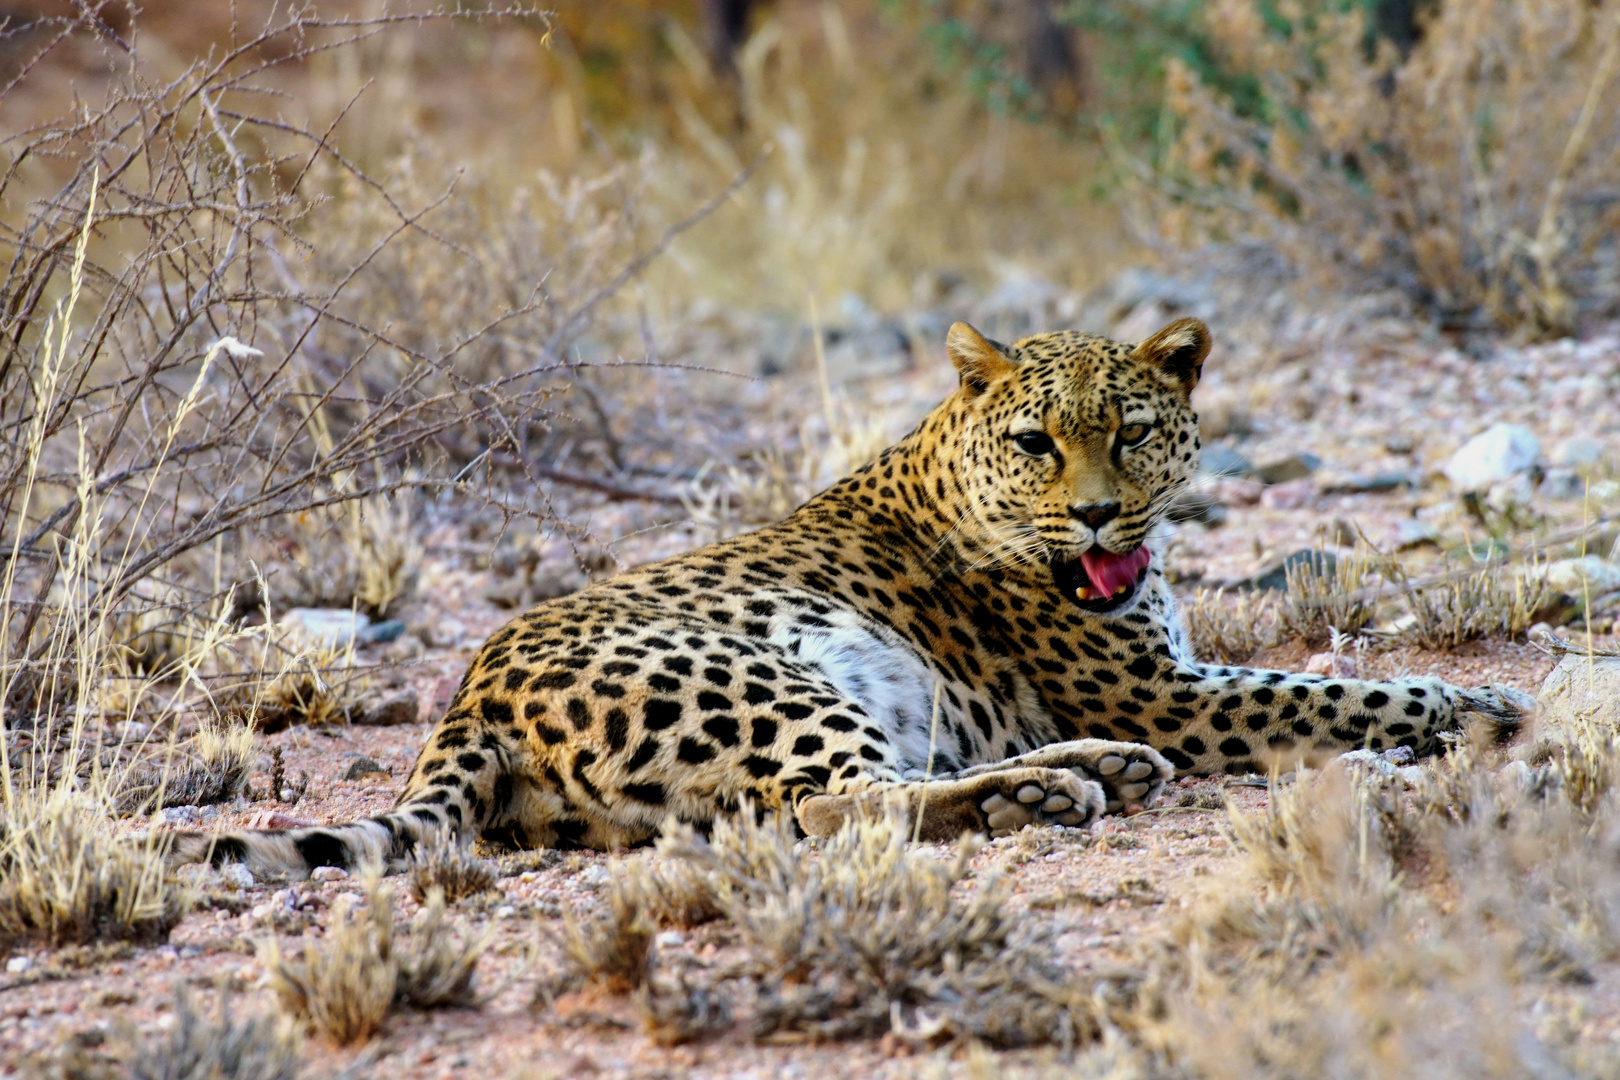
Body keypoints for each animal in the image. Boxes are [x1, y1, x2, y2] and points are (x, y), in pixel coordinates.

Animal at [174, 314, 1529, 880]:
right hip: (769, 679)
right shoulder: (1177, 695)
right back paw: (1047, 790)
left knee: (833, 799)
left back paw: (1088, 770)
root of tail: (469, 695)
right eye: (1039, 443)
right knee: (842, 808)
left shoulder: (1171, 687)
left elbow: (1325, 681)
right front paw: (1473, 709)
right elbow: (1332, 690)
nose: (1098, 515)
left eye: (1133, 433)